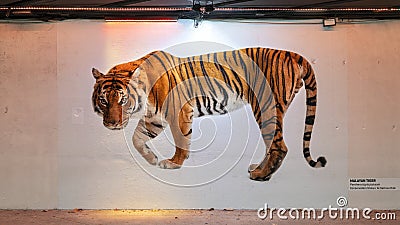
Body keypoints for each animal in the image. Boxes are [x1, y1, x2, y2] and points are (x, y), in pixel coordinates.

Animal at [92, 47, 326, 181]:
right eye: (103, 100)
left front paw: (174, 163)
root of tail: (291, 53)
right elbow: (136, 139)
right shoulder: (154, 120)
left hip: (266, 107)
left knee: (279, 147)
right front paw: (152, 159)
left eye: (123, 100)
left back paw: (261, 175)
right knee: (272, 145)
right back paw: (258, 169)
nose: (112, 124)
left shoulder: (178, 112)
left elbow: (181, 141)